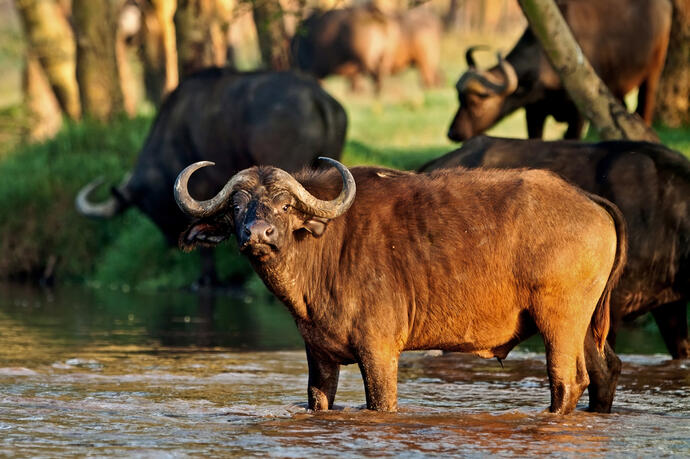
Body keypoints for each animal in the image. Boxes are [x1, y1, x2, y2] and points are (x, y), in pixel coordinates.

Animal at [176, 159, 624, 416]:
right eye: (237, 206)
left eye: (285, 206)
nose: (258, 234)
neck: (325, 248)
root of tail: (588, 199)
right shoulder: (318, 356)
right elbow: (319, 402)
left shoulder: (379, 352)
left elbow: (381, 403)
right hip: (584, 326)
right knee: (604, 372)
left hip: (559, 322)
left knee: (567, 381)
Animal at [444, 0, 668, 142]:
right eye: (459, 99)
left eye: (477, 101)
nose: (453, 133)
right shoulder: (534, 111)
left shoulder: (579, 114)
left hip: (653, 71)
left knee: (644, 108)